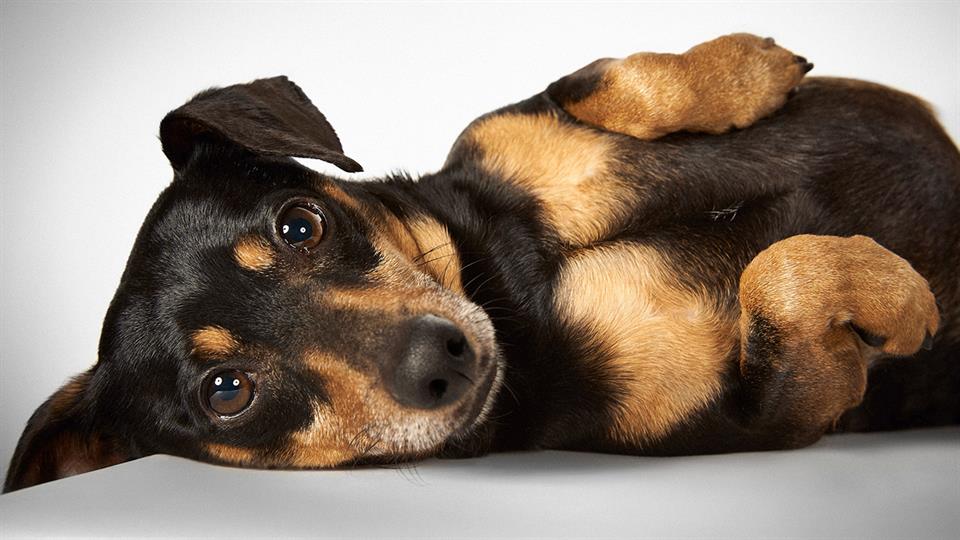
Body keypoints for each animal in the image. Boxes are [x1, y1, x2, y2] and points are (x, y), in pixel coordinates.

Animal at [3, 31, 956, 492]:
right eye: (225, 392)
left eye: (300, 225)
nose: (442, 358)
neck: (511, 285)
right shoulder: (776, 413)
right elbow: (781, 276)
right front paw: (902, 296)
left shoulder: (511, 131)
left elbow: (607, 80)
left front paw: (748, 66)